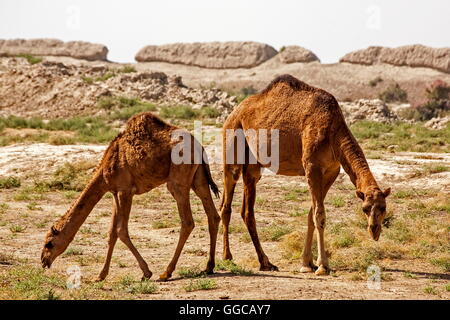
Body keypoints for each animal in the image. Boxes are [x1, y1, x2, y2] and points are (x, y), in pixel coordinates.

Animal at [41, 111, 221, 282]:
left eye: (49, 243)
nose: (43, 261)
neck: (105, 169)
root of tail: (199, 146)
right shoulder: (115, 192)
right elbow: (112, 232)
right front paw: (100, 276)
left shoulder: (125, 191)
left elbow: (121, 230)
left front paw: (146, 272)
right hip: (198, 178)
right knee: (213, 215)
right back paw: (209, 267)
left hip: (177, 181)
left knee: (187, 222)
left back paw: (166, 273)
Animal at [221, 74, 390, 276]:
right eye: (364, 208)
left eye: (383, 207)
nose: (374, 230)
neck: (333, 130)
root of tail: (233, 114)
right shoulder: (312, 167)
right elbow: (319, 215)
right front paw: (322, 266)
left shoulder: (331, 171)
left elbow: (312, 214)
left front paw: (307, 263)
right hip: (232, 147)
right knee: (229, 206)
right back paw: (230, 257)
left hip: (254, 165)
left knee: (242, 208)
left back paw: (264, 262)